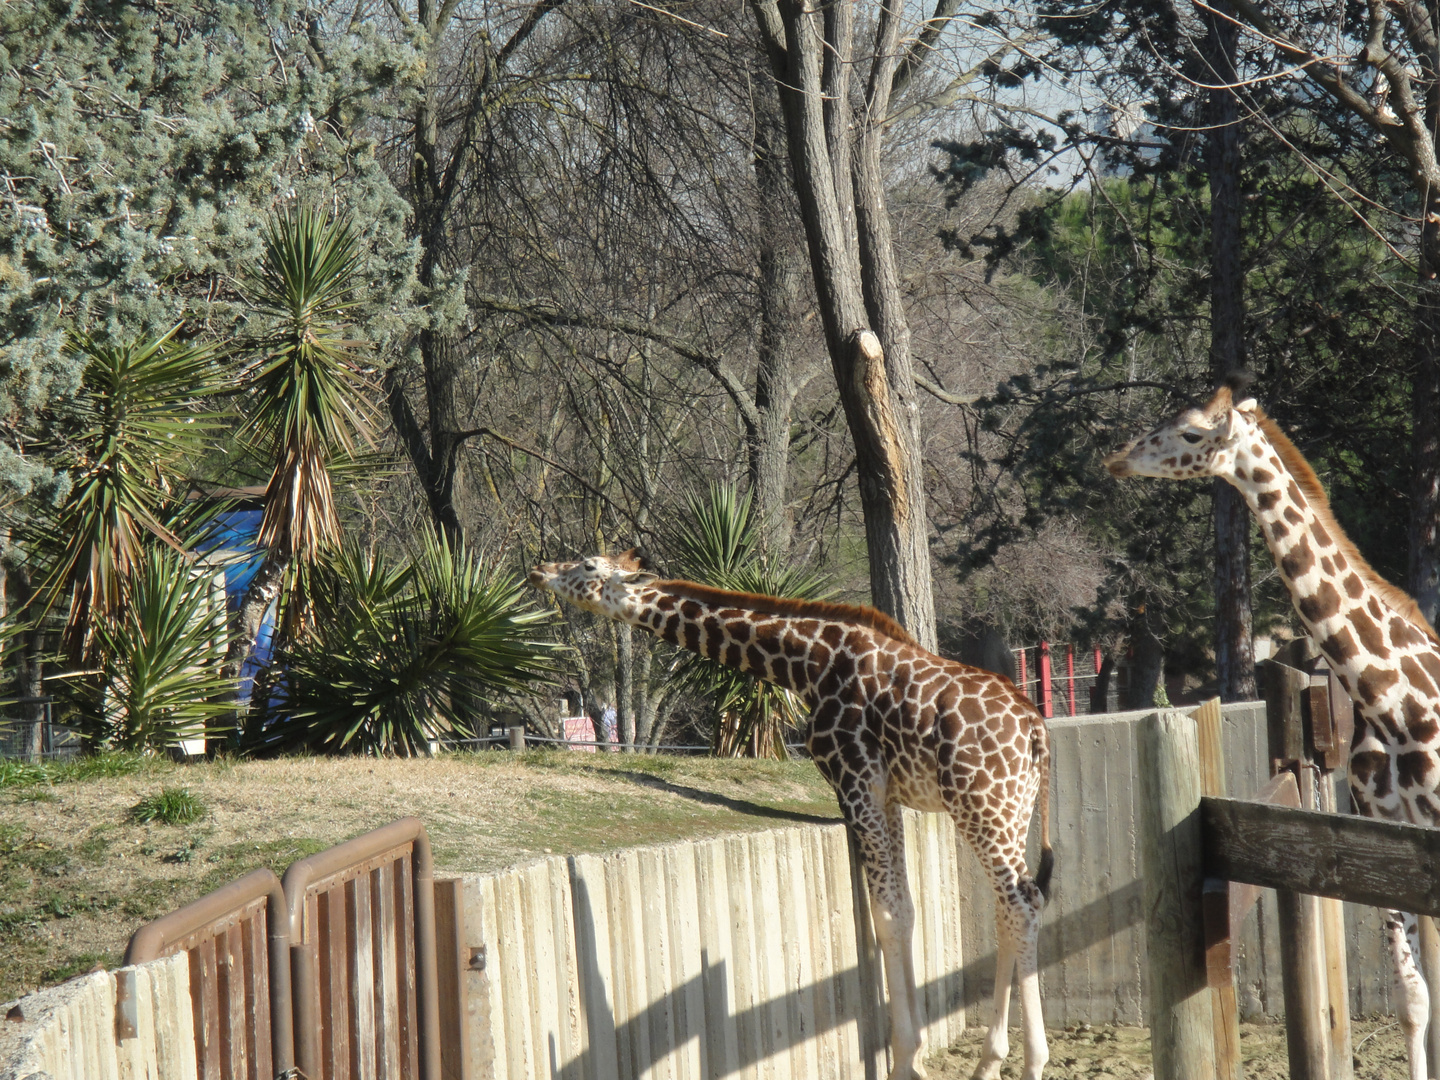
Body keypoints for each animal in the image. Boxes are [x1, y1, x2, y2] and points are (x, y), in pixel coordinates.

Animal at [529, 552, 1059, 1080]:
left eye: (587, 567)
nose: (541, 571)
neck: (809, 664)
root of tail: (1037, 730)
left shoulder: (854, 778)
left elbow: (886, 915)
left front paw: (906, 1060)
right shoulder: (886, 794)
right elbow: (905, 911)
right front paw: (911, 1057)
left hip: (981, 805)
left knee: (1023, 903)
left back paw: (1033, 1061)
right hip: (1012, 810)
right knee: (1010, 908)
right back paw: (989, 1061)